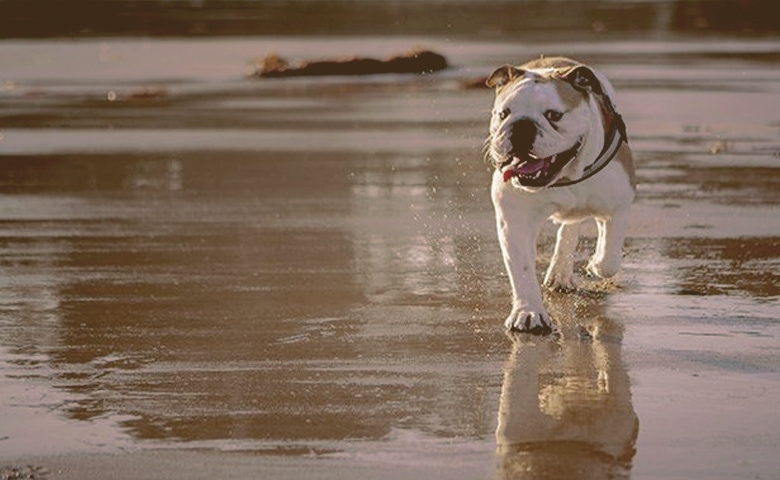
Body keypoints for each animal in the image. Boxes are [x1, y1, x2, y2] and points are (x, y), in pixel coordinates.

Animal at [488, 57, 632, 334]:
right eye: (503, 114)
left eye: (554, 115)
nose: (522, 126)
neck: (565, 175)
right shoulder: (514, 219)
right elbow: (521, 268)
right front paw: (528, 313)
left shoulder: (620, 204)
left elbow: (610, 254)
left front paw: (596, 263)